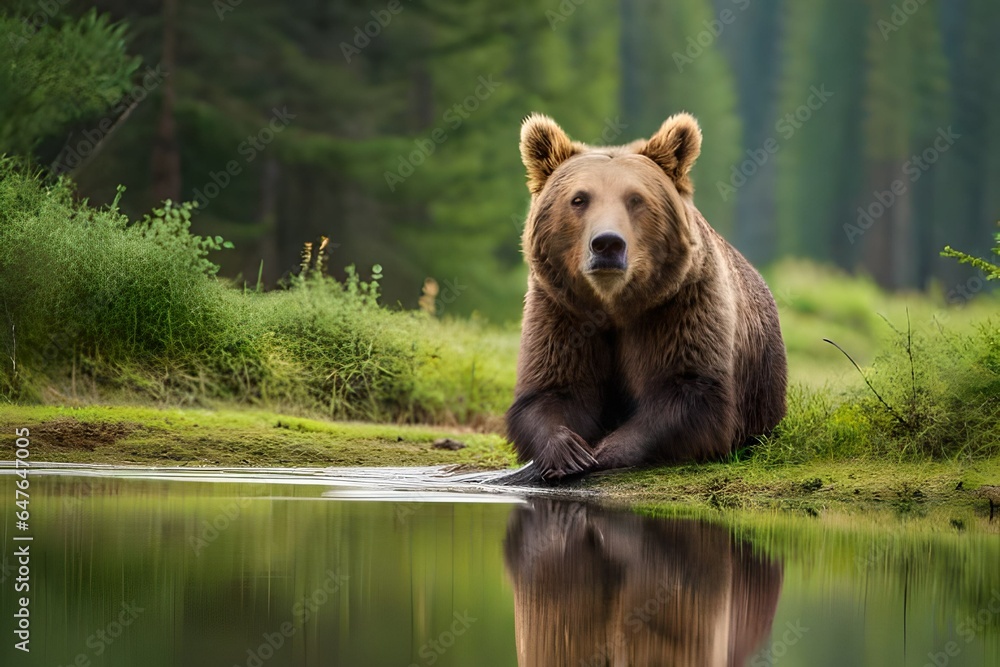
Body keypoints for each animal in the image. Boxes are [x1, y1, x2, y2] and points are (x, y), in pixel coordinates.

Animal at [505, 112, 787, 480]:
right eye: (579, 199)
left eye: (635, 198)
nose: (607, 244)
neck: (612, 306)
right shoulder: (562, 310)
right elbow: (552, 388)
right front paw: (568, 451)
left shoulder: (679, 306)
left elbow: (688, 391)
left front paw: (604, 450)